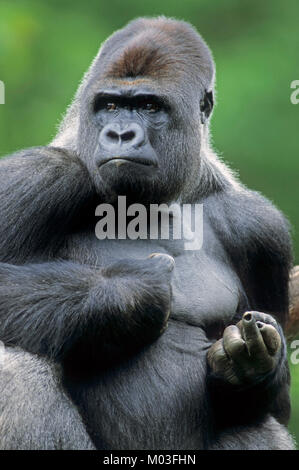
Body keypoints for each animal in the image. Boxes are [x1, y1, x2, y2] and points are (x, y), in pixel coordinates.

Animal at [0, 16, 296, 450]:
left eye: (148, 106)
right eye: (110, 105)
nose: (121, 134)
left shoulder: (260, 228)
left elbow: (277, 404)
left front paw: (255, 366)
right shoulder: (38, 175)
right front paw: (127, 295)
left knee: (254, 422)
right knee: (16, 362)